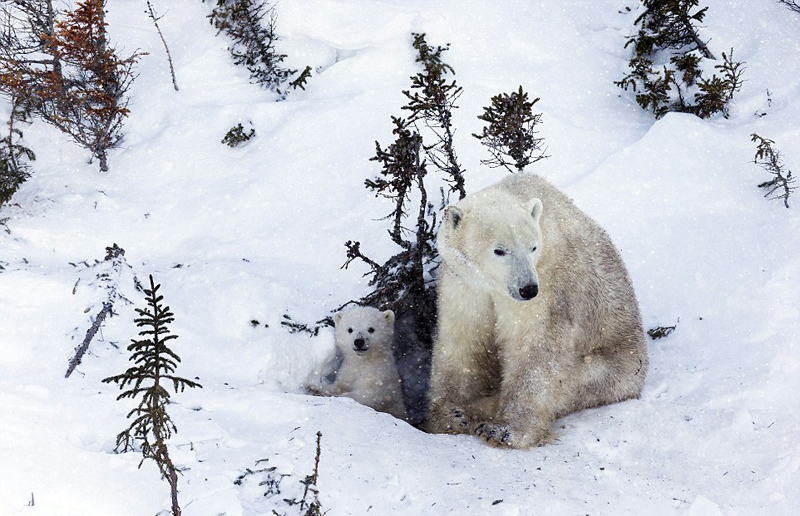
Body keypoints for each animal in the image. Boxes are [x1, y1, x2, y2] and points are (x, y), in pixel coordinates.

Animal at [428, 172, 648, 448]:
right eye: (499, 250)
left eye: (532, 247)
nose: (528, 289)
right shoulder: (465, 286)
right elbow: (462, 342)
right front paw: (451, 414)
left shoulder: (551, 289)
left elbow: (537, 352)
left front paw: (503, 430)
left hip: (613, 366)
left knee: (573, 384)